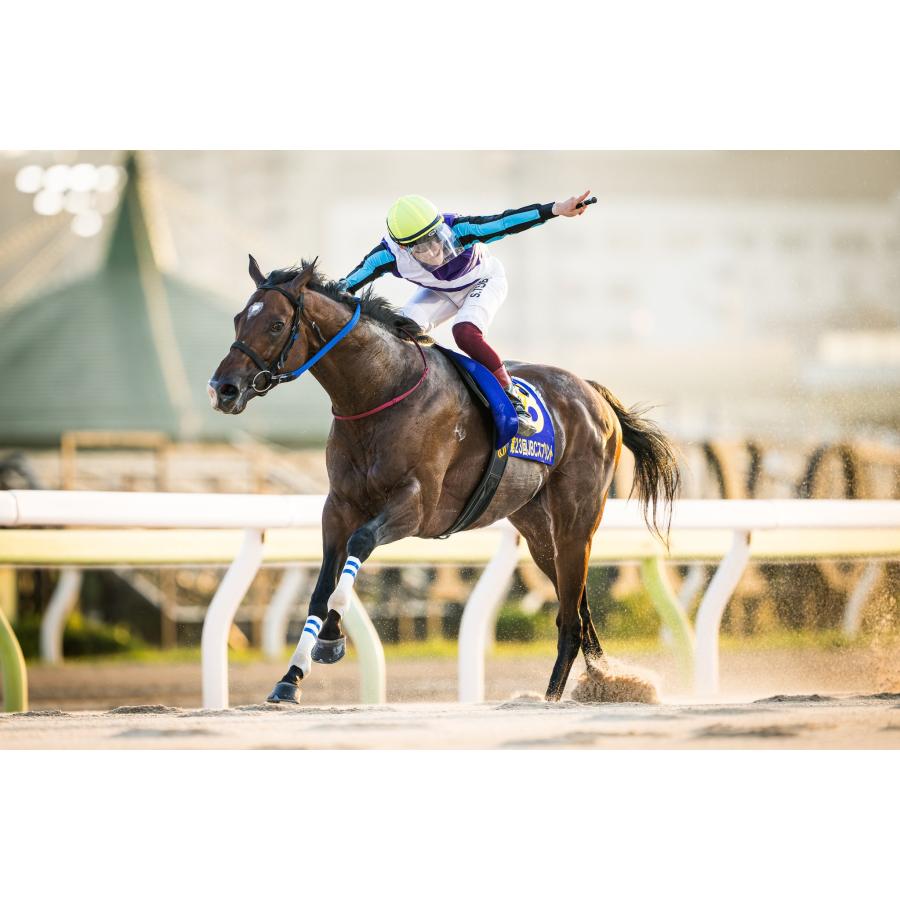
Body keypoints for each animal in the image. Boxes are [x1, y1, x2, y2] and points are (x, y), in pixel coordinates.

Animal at [208, 257, 680, 703]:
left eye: (275, 324)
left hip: (576, 521)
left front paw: (329, 640)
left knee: (570, 619)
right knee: (577, 609)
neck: (380, 390)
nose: (223, 388)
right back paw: (606, 682)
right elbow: (322, 586)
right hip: (537, 531)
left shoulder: (417, 506)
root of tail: (592, 393)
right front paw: (290, 678)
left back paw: (550, 699)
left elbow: (360, 545)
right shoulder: (338, 506)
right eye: (237, 318)